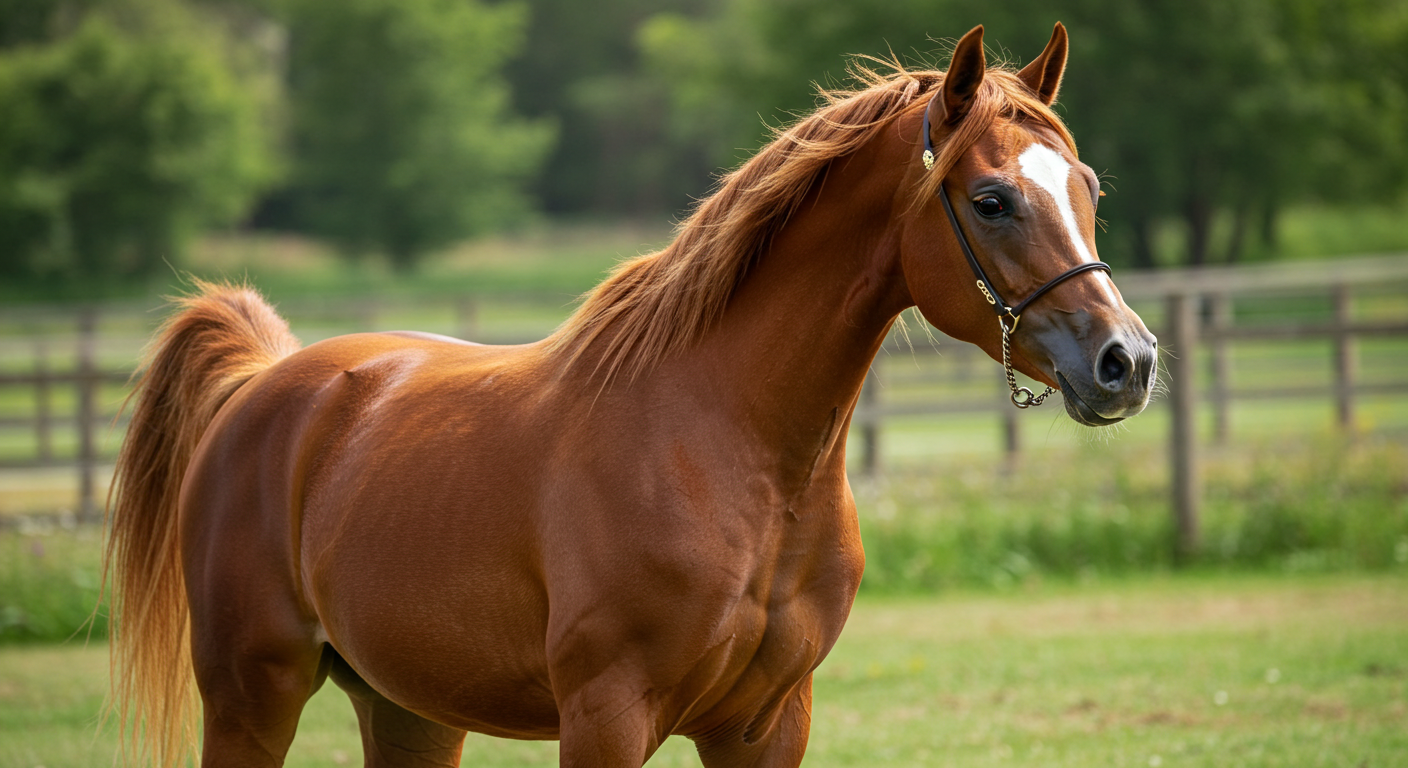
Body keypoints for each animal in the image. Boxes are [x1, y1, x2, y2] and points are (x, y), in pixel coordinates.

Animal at [107, 22, 1154, 766]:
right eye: (991, 200)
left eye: (1090, 186)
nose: (1128, 361)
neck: (731, 451)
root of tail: (266, 382)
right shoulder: (607, 718)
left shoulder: (766, 726)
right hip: (253, 697)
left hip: (407, 712)